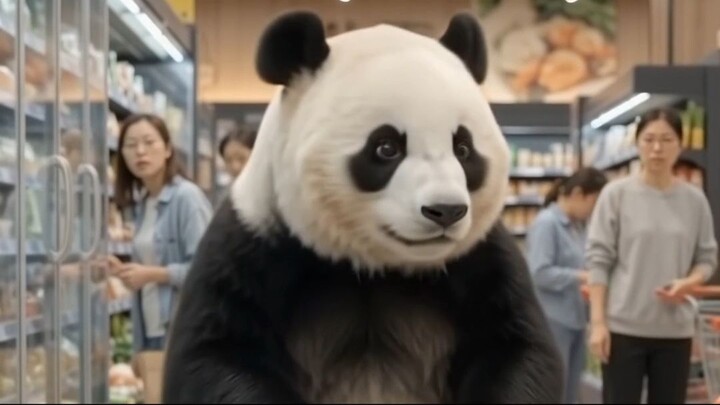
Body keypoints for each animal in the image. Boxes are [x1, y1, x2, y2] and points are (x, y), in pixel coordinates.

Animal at [162, 10, 563, 404]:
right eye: (386, 147)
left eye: (464, 149)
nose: (445, 211)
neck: (375, 265)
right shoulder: (253, 241)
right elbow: (218, 351)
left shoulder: (480, 254)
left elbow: (515, 346)